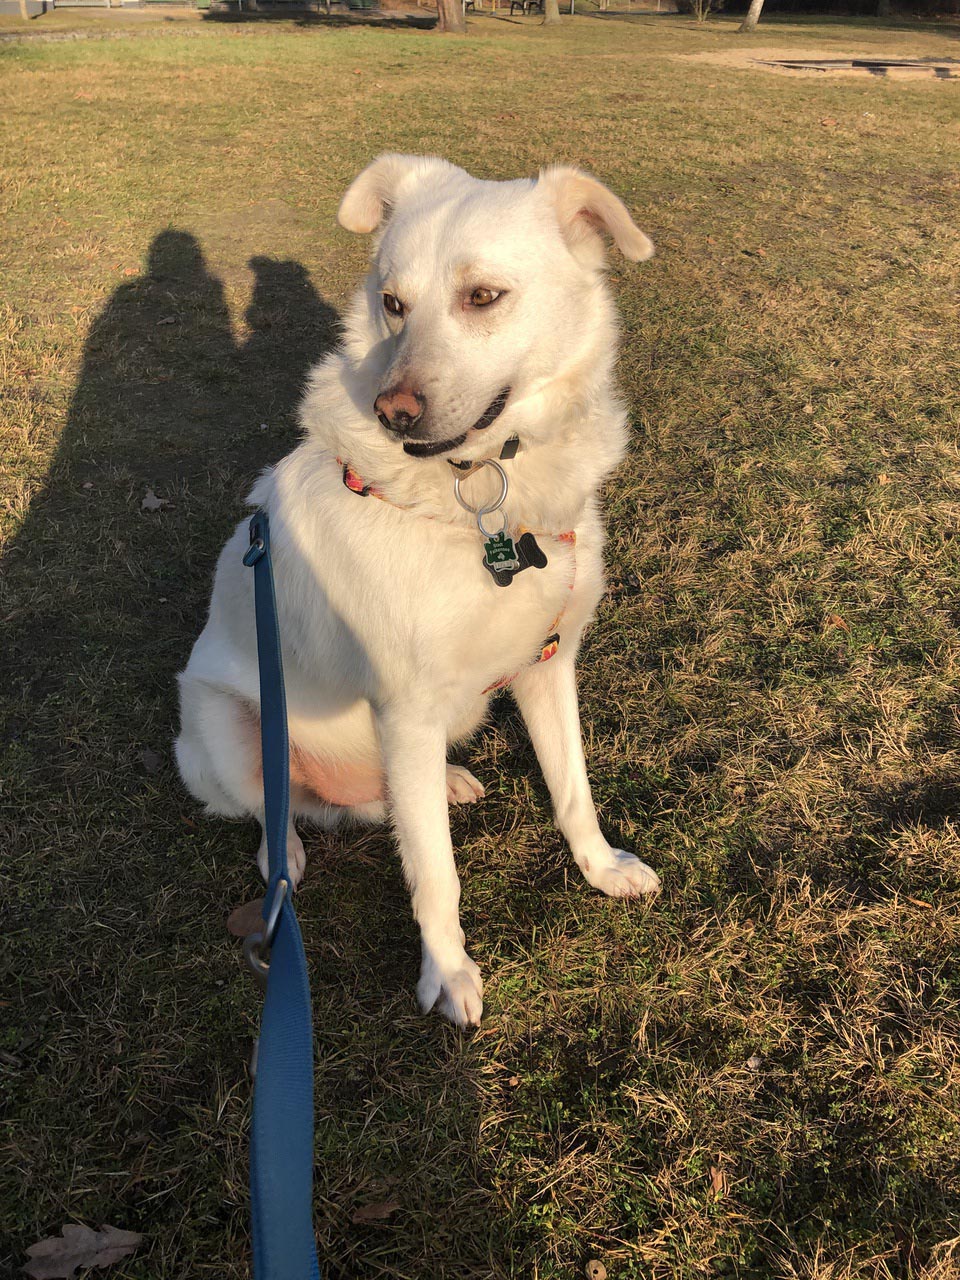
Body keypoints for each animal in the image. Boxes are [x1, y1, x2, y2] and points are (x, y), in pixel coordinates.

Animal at [174, 154, 660, 1027]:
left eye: (483, 296)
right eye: (393, 304)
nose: (393, 412)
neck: (485, 500)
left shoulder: (548, 666)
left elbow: (572, 789)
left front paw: (600, 867)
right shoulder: (404, 708)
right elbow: (436, 874)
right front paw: (448, 974)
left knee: (369, 806)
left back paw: (445, 782)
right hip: (224, 726)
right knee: (277, 808)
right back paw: (283, 857)